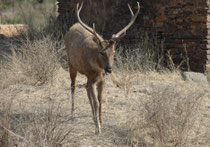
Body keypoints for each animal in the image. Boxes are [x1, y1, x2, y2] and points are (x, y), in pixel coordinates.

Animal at [64, 1, 139, 134]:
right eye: (102, 52)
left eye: (113, 52)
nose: (109, 69)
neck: (98, 69)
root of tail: (72, 27)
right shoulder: (91, 77)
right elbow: (96, 102)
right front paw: (98, 128)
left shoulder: (101, 80)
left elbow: (100, 100)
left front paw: (100, 122)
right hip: (71, 64)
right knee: (73, 87)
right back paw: (73, 115)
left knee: (86, 88)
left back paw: (93, 118)